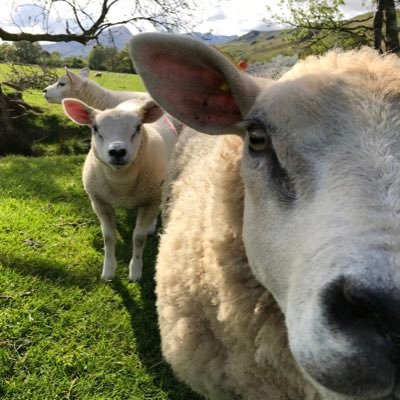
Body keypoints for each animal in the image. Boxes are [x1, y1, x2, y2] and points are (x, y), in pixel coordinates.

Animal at [63, 97, 169, 282]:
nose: (117, 151)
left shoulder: (150, 200)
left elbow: (138, 238)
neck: (122, 184)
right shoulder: (99, 202)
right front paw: (108, 271)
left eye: (138, 127)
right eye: (95, 128)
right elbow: (108, 237)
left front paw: (135, 272)